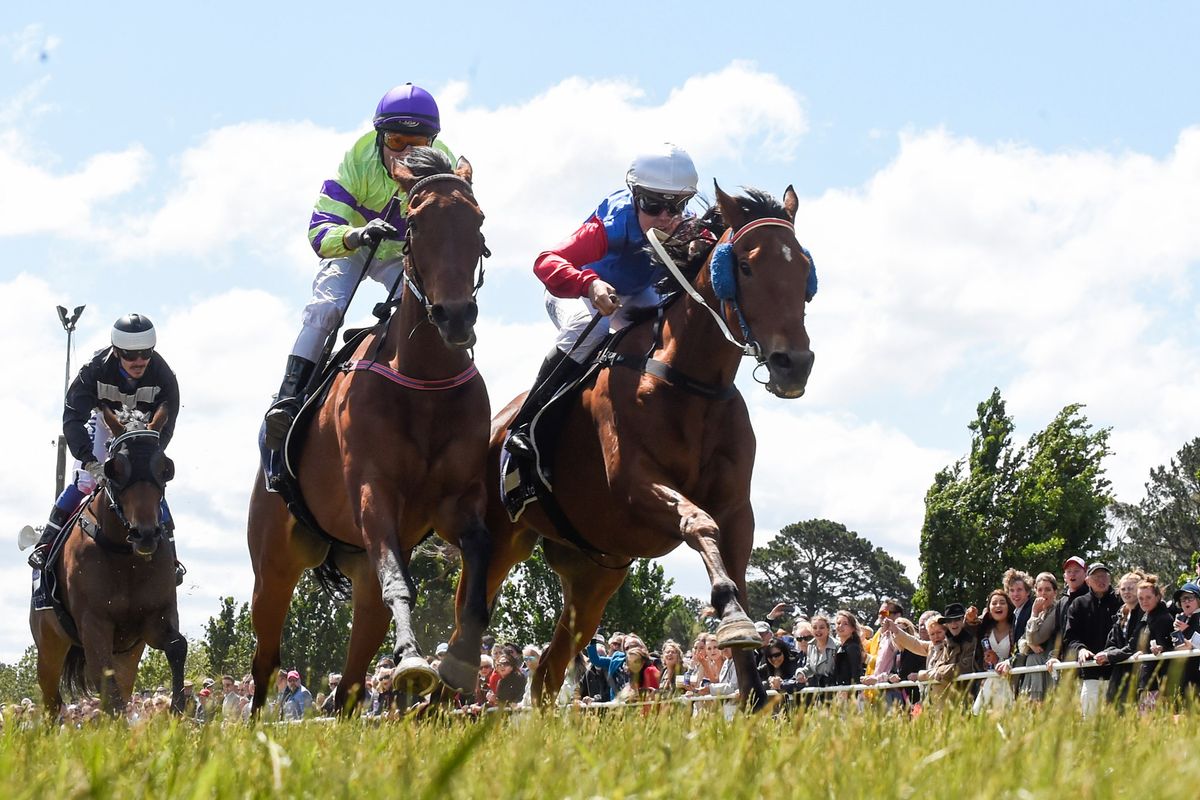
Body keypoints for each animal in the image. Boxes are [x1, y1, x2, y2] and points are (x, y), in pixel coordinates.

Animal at [29, 407, 182, 719]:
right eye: (115, 468)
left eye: (165, 468)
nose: (145, 533)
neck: (124, 555)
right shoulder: (94, 625)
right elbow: (109, 692)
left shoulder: (154, 619)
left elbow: (177, 646)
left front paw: (179, 708)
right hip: (49, 644)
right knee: (52, 701)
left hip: (127, 653)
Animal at [246, 146, 494, 714]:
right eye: (416, 224)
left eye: (477, 220)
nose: (455, 316)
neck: (425, 379)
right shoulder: (372, 493)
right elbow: (400, 583)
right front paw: (412, 662)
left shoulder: (457, 502)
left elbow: (478, 566)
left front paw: (458, 662)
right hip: (273, 566)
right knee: (265, 663)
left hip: (357, 572)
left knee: (351, 684)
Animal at [477, 181, 816, 705]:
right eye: (745, 264)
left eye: (802, 266)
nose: (793, 364)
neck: (688, 380)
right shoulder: (635, 488)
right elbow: (698, 523)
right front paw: (731, 615)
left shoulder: (737, 506)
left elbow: (733, 567)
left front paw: (755, 689)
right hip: (498, 544)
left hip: (595, 575)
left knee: (547, 672)